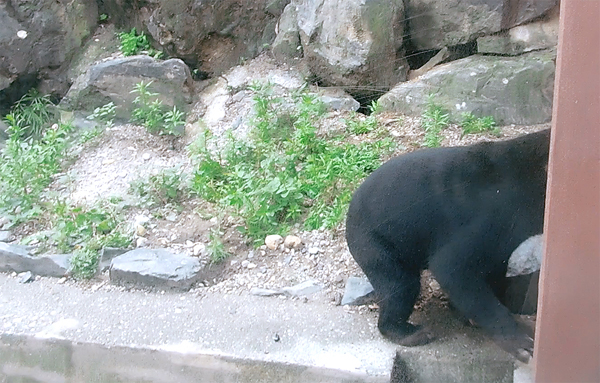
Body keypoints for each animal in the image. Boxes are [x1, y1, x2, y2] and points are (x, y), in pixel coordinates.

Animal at [346, 130, 548, 364]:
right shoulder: (493, 216)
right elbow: (453, 268)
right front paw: (522, 344)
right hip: (375, 245)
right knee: (400, 286)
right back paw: (413, 333)